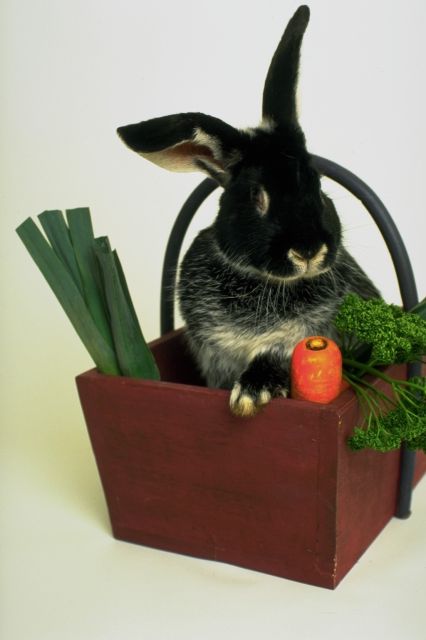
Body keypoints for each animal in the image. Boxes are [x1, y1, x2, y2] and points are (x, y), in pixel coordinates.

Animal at [117, 6, 380, 420]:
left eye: (319, 186)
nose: (308, 250)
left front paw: (251, 394)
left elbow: (276, 356)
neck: (263, 283)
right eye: (258, 197)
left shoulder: (313, 336)